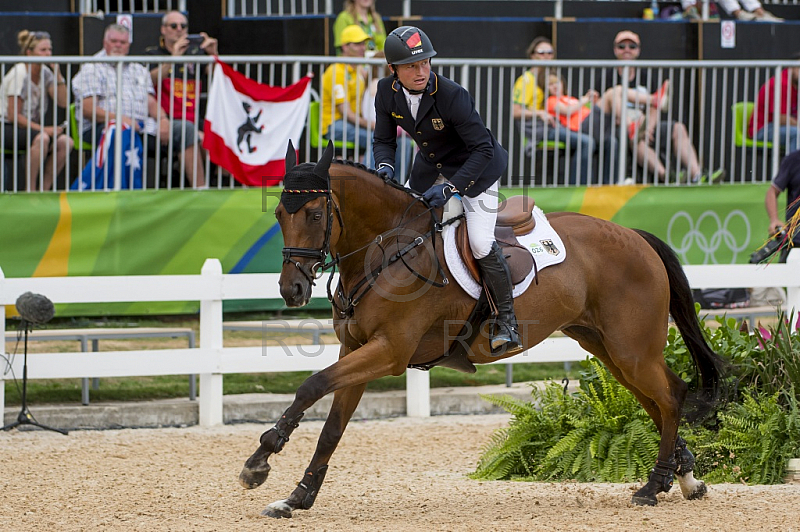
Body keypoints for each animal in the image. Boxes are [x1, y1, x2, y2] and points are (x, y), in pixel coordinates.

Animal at [236, 143, 724, 516]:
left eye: (315, 215)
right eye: (278, 213)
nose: (292, 290)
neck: (386, 249)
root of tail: (637, 237)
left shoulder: (388, 352)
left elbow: (311, 385)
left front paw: (260, 460)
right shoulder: (355, 351)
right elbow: (332, 428)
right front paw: (297, 497)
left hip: (631, 349)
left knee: (670, 397)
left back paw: (653, 487)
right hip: (608, 347)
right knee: (658, 399)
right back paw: (684, 479)